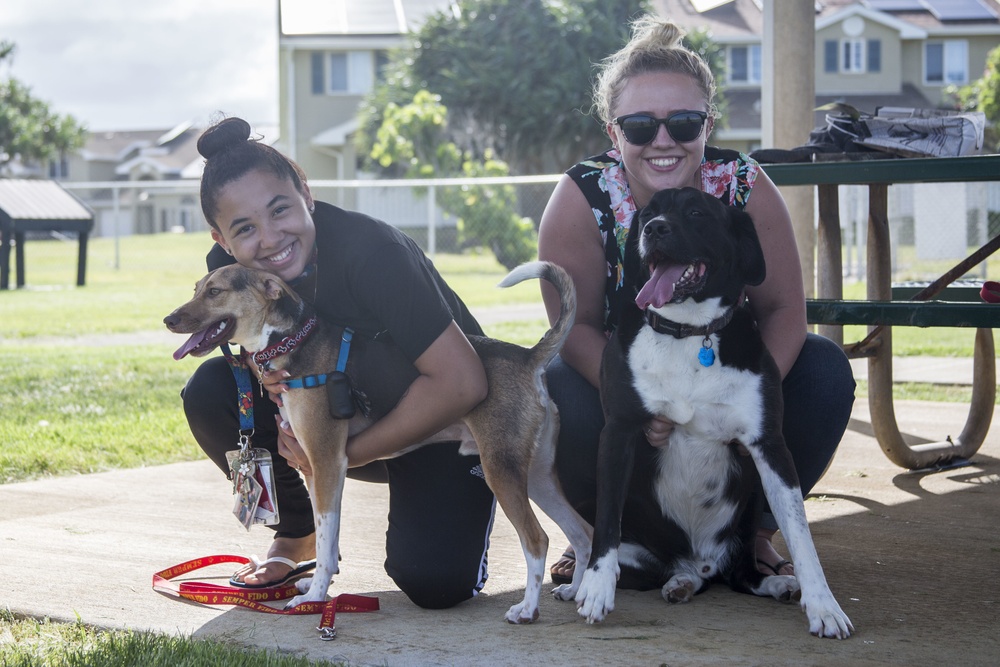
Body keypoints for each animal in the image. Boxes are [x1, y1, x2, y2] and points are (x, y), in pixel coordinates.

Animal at [166, 260, 592, 628]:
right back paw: (574, 591)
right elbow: (326, 538)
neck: (289, 341)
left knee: (537, 540)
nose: (169, 319)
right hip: (536, 476)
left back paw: (527, 609)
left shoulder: (326, 461)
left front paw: (314, 597)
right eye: (196, 289)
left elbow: (326, 541)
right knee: (583, 532)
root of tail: (527, 357)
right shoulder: (314, 468)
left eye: (215, 291)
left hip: (501, 470)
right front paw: (314, 586)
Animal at [580, 187, 852, 636]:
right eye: (648, 214)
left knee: (742, 575)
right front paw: (595, 589)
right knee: (657, 567)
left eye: (696, 212)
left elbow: (801, 535)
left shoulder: (770, 446)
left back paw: (771, 582)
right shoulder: (617, 432)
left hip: (747, 518)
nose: (654, 229)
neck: (690, 334)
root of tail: (702, 563)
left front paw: (824, 606)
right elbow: (605, 526)